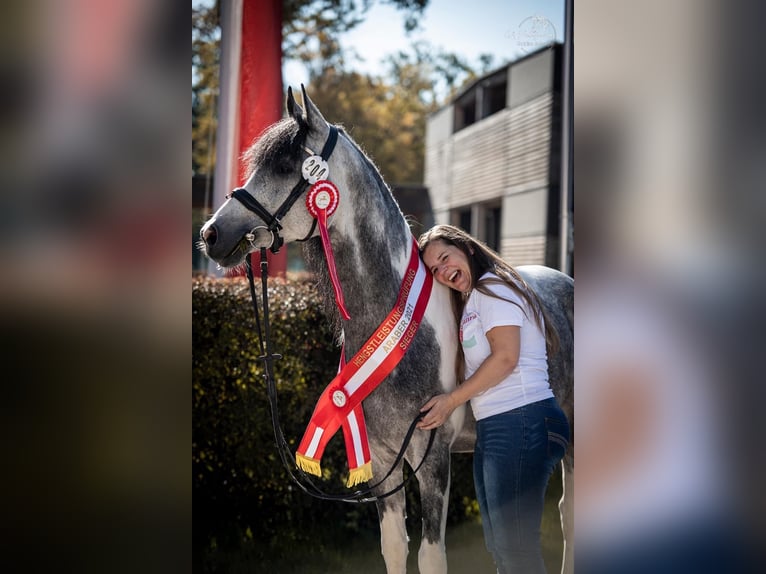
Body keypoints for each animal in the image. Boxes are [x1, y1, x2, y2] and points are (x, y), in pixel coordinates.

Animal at [199, 86, 573, 574]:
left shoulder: (433, 460)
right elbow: (394, 546)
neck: (399, 328)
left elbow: (431, 556)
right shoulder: (380, 460)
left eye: (283, 166)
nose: (211, 234)